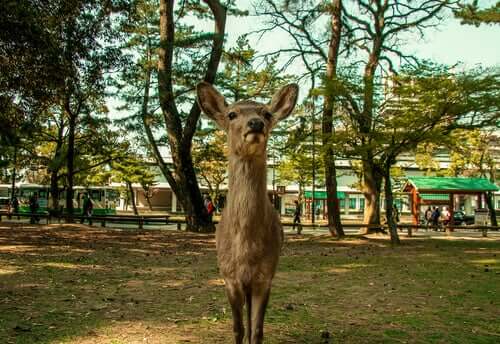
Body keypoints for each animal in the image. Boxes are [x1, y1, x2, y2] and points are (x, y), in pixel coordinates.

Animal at [195, 82, 296, 344]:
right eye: (232, 114)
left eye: (267, 114)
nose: (255, 123)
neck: (246, 251)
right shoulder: (228, 275)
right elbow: (238, 328)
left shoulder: (266, 275)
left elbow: (257, 330)